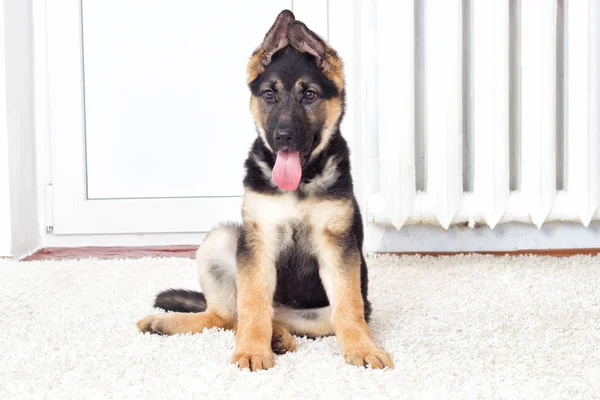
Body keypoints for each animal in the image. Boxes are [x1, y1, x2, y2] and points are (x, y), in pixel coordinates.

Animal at [139, 9, 396, 372]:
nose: (283, 136)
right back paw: (171, 323)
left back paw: (278, 337)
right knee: (229, 315)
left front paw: (363, 348)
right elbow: (253, 305)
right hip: (223, 241)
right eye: (269, 95)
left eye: (309, 95)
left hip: (317, 314)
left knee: (280, 318)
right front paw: (252, 350)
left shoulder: (338, 245)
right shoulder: (257, 241)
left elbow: (349, 307)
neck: (300, 182)